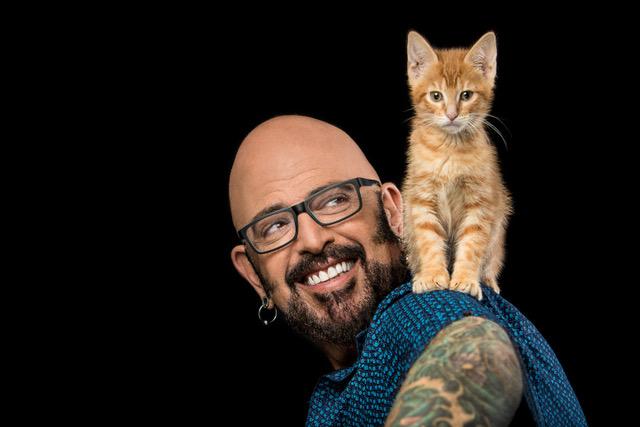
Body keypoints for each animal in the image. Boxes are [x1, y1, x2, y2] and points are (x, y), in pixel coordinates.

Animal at [402, 30, 512, 300]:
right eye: (436, 96)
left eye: (466, 95)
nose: (451, 114)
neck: (450, 151)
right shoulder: (421, 198)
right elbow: (429, 239)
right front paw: (432, 276)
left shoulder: (481, 202)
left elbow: (473, 244)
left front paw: (465, 279)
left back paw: (489, 280)